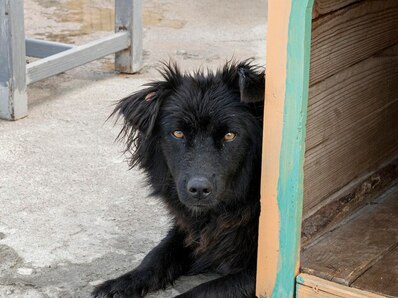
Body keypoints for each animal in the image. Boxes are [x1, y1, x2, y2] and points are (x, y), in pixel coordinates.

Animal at [93, 61, 264, 298]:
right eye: (178, 133)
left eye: (230, 135)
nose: (199, 189)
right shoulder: (187, 229)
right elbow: (156, 255)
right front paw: (119, 284)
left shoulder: (263, 274)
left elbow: (204, 290)